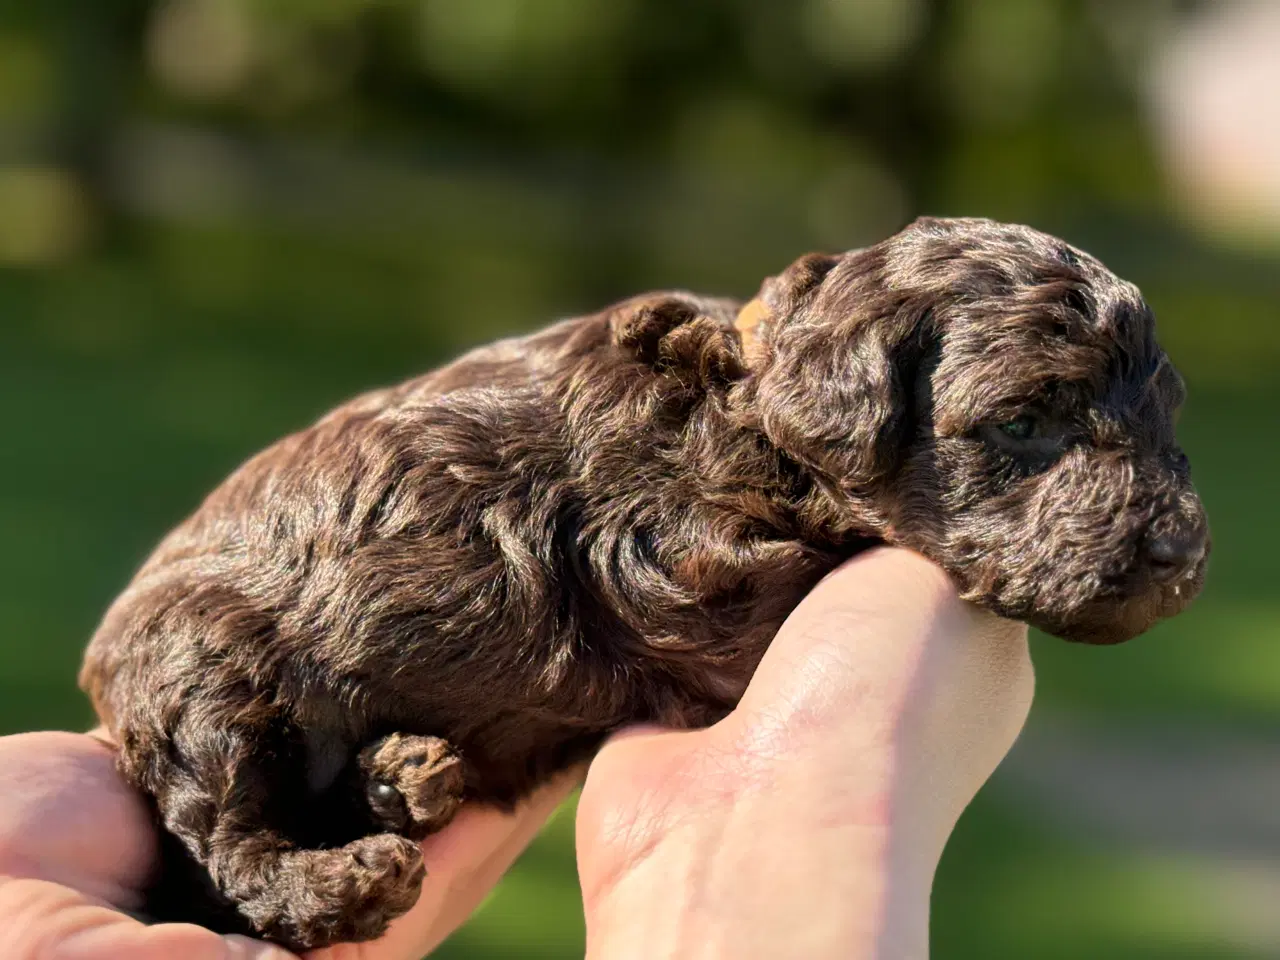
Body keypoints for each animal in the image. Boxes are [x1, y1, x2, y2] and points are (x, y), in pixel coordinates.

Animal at [77, 216, 1208, 947]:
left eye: (1167, 421)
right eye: (1022, 421)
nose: (1180, 558)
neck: (755, 410)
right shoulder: (672, 562)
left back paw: (403, 778)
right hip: (207, 678)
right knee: (229, 842)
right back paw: (345, 877)